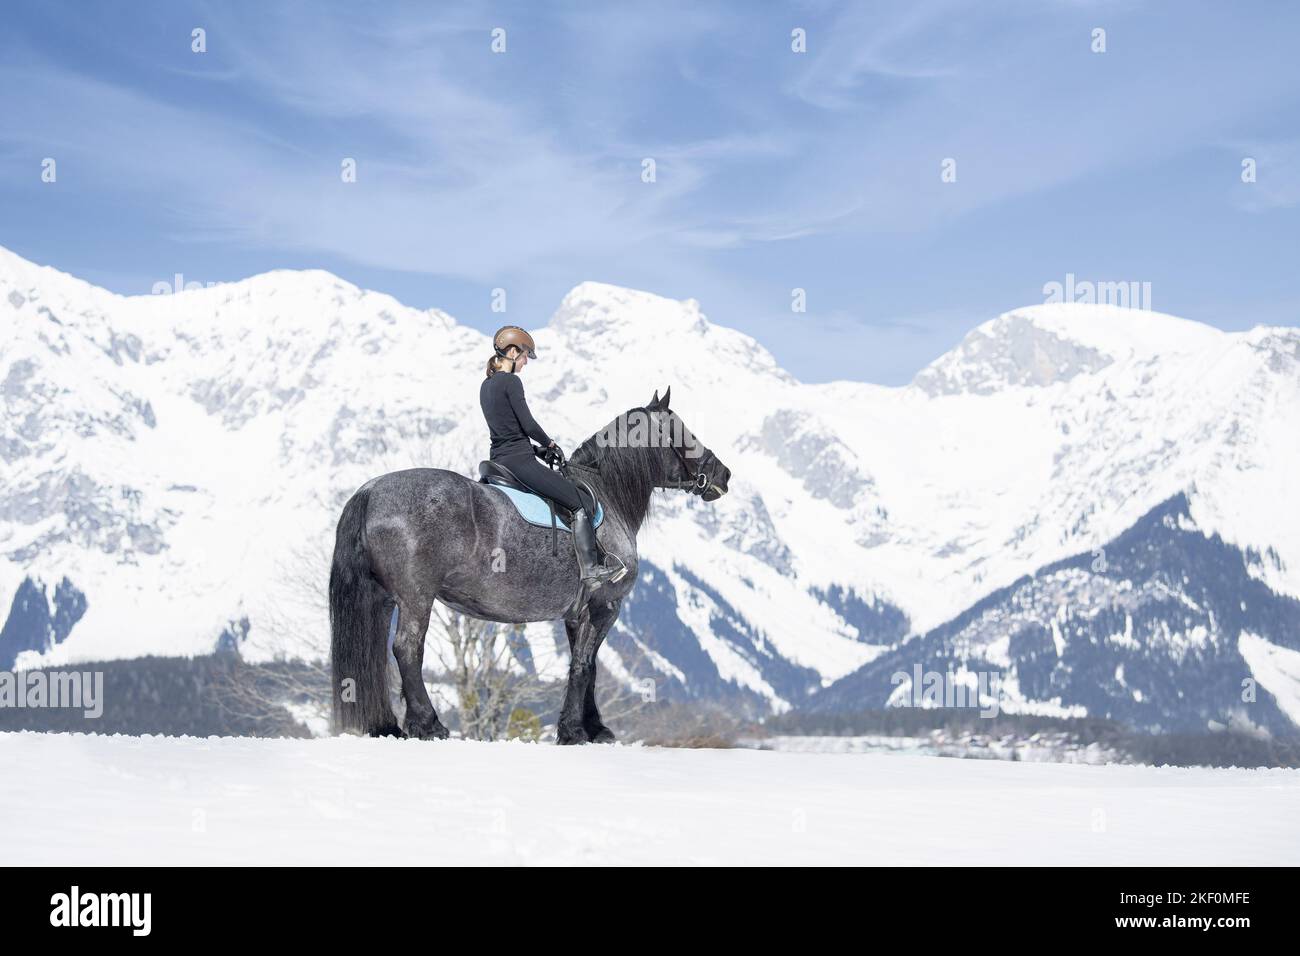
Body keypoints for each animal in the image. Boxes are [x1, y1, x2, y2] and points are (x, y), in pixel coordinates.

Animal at [328, 387, 732, 744]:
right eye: (685, 432)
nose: (724, 475)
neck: (607, 494)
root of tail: (370, 490)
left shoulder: (578, 612)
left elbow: (587, 666)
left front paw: (592, 728)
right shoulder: (606, 605)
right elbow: (584, 665)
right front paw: (574, 732)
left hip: (383, 599)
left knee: (377, 654)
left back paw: (386, 726)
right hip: (415, 597)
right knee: (407, 650)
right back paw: (428, 725)